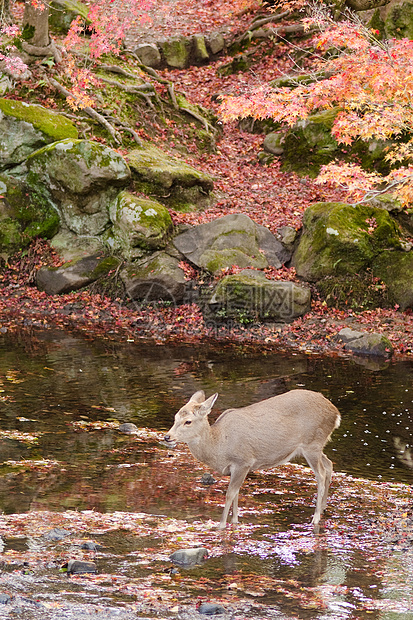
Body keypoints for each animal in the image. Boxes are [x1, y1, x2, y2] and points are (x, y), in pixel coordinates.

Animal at [163, 390, 340, 532]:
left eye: (188, 421)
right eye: (175, 417)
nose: (167, 437)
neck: (219, 445)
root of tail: (335, 413)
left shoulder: (243, 461)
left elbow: (230, 493)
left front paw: (221, 525)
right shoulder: (236, 468)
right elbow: (236, 493)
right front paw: (235, 521)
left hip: (312, 443)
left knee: (321, 474)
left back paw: (315, 518)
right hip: (315, 447)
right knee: (329, 464)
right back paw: (323, 507)